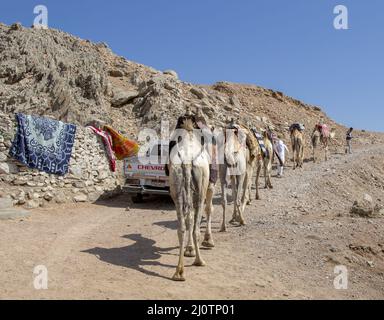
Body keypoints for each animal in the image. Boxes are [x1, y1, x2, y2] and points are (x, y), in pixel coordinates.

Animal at [170, 119, 214, 282]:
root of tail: (188, 161)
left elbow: (189, 217)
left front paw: (189, 249)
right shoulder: (209, 186)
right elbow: (208, 210)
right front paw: (207, 241)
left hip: (176, 186)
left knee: (182, 227)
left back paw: (179, 272)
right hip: (201, 188)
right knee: (195, 228)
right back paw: (199, 261)